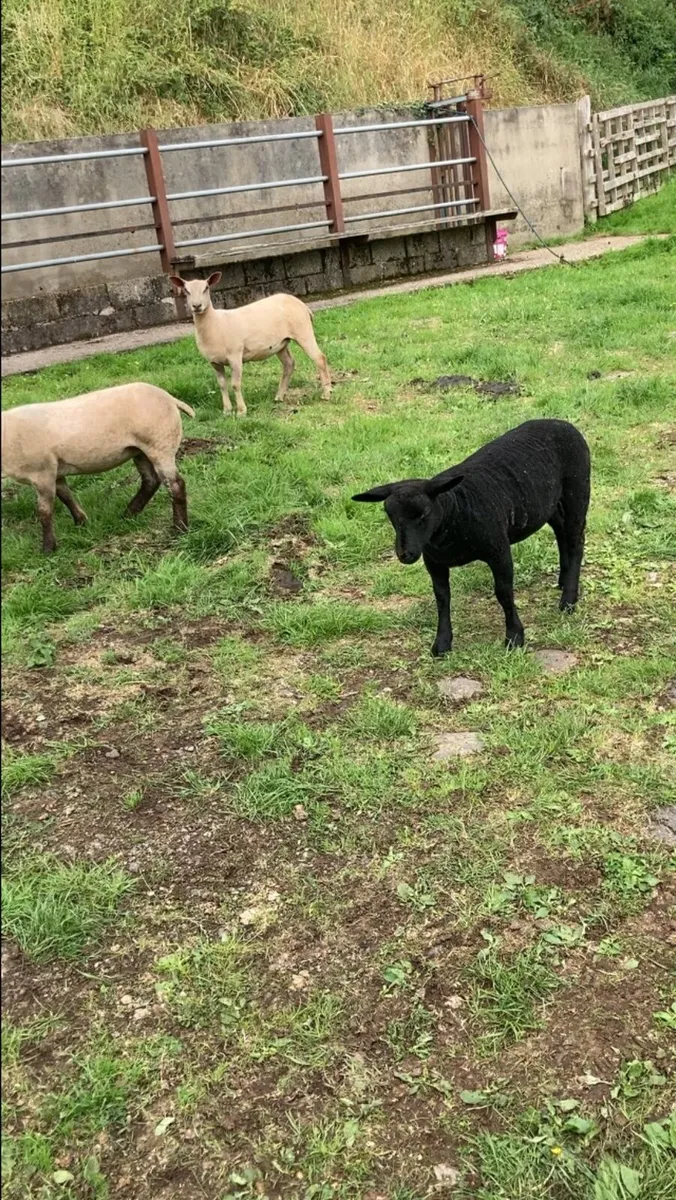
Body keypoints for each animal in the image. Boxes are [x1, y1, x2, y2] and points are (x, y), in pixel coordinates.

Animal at [1, 382, 194, 553]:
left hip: (160, 444)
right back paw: (129, 513)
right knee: (150, 481)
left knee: (175, 485)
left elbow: (45, 511)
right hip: (140, 450)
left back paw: (179, 529)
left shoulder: (42, 472)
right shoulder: (55, 472)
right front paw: (81, 522)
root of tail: (170, 398)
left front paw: (48, 549)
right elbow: (66, 496)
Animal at [170, 272, 332, 416]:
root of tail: (300, 303)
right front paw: (227, 411)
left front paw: (241, 412)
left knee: (319, 358)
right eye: (186, 290)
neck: (215, 322)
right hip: (281, 343)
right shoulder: (214, 362)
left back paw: (326, 394)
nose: (197, 306)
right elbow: (222, 385)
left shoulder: (235, 355)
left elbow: (235, 384)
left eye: (206, 288)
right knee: (289, 364)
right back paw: (279, 397)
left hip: (303, 331)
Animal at [352, 419, 590, 655]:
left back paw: (568, 600)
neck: (454, 509)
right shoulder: (434, 562)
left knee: (575, 541)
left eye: (424, 513)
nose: (405, 554)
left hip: (577, 490)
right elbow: (442, 598)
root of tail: (560, 422)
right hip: (548, 504)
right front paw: (442, 643)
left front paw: (514, 637)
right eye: (390, 515)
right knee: (561, 532)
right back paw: (563, 581)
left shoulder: (499, 550)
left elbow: (503, 593)